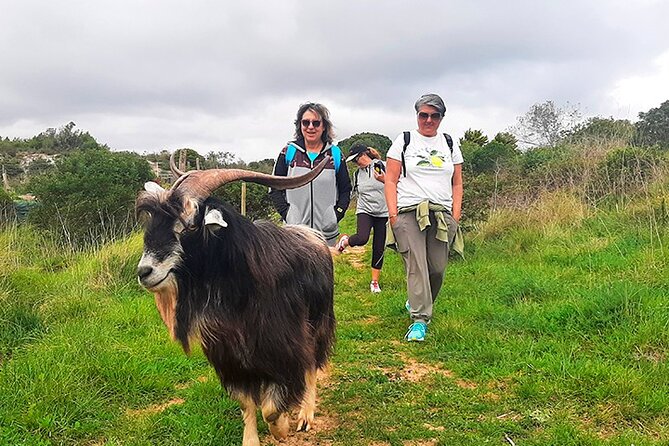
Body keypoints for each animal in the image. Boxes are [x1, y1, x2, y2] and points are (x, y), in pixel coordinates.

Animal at [135, 153, 335, 446]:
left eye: (188, 225)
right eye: (152, 223)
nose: (144, 272)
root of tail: (312, 235)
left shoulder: (283, 344)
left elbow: (271, 408)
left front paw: (282, 427)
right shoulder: (228, 355)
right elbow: (247, 402)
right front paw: (252, 438)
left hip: (318, 320)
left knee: (312, 362)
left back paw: (306, 415)